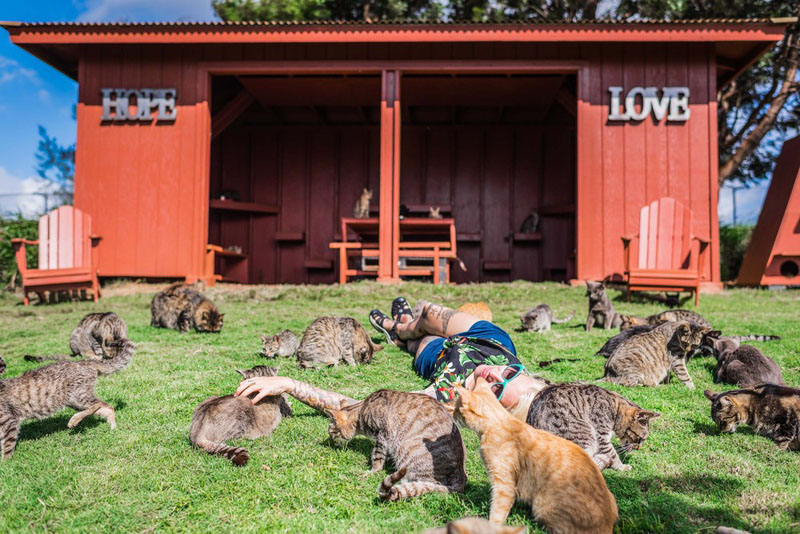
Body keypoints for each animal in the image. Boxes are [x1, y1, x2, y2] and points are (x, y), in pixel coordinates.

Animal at [0, 340, 134, 460]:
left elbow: (7, 445)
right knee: (107, 407)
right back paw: (113, 427)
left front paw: (6, 464)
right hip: (75, 401)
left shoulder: (8, 421)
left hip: (79, 396)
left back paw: (74, 420)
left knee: (98, 404)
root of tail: (84, 362)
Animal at [322, 390, 466, 502]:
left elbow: (377, 457)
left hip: (406, 450)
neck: (362, 409)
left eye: (332, 433)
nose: (331, 442)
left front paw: (372, 471)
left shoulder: (382, 434)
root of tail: (461, 474)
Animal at [454, 378, 616, 532]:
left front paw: (490, 526)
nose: (452, 414)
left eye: (456, 409)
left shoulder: (504, 483)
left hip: (542, 505)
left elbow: (498, 510)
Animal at [524, 386, 656, 474]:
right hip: (587, 435)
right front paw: (621, 466)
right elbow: (612, 453)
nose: (639, 448)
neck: (616, 406)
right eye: (640, 439)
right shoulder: (601, 434)